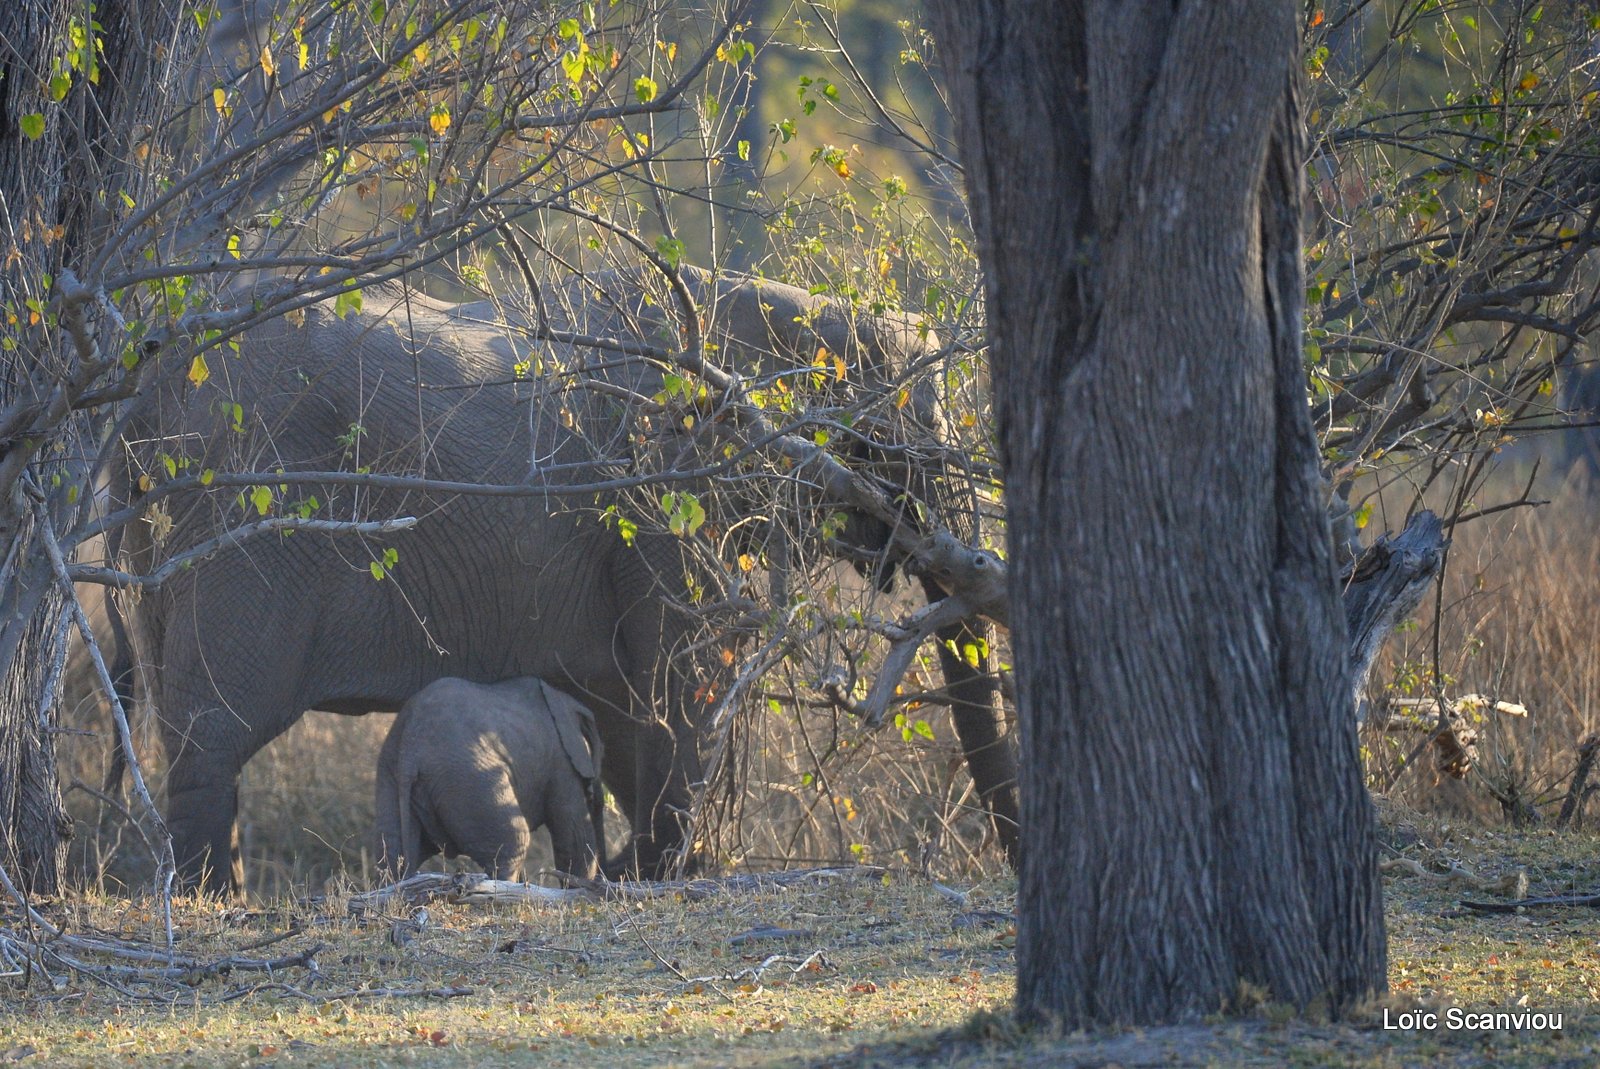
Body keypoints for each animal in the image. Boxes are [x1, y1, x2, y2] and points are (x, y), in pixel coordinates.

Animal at [371, 675, 608, 883]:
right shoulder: (561, 760)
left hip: (390, 774)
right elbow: (574, 839)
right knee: (513, 844)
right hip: (468, 777)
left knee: (391, 855)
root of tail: (411, 751)